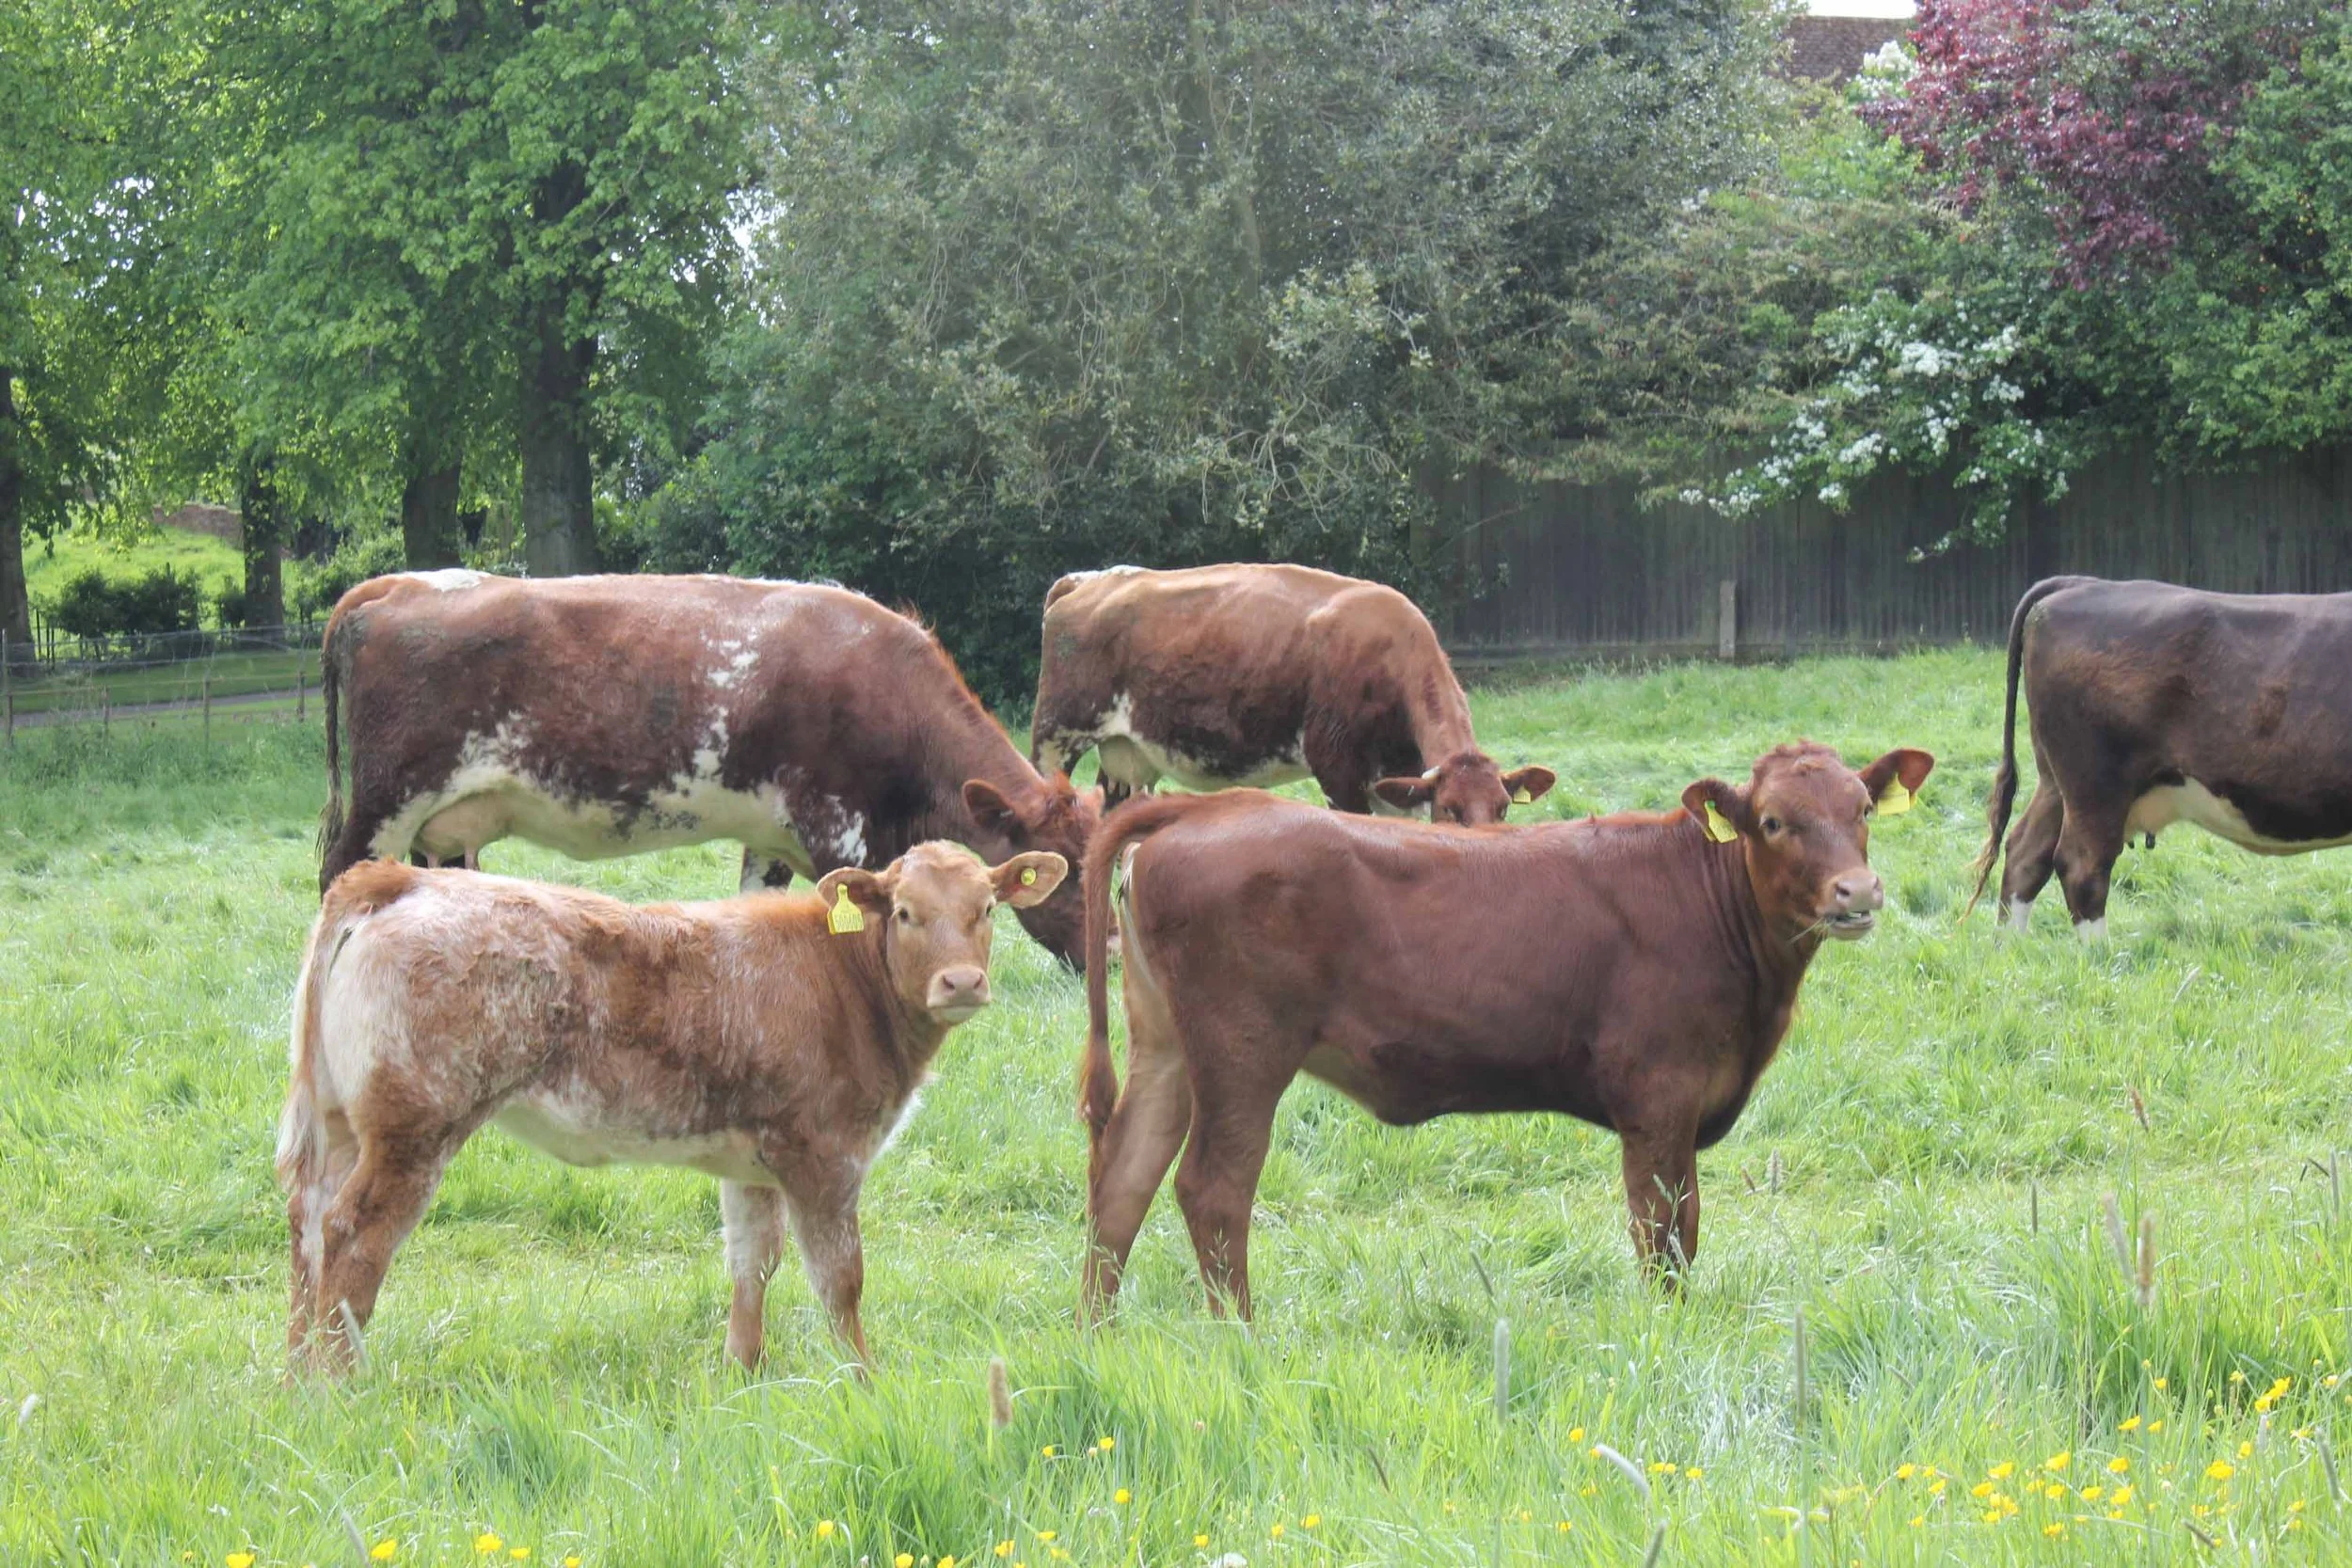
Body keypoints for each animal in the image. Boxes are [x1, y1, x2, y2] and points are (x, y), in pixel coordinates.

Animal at [277, 841, 1069, 1375]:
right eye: (906, 912)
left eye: (986, 909)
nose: (961, 981)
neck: (840, 979)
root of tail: (399, 877)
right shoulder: (825, 1154)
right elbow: (840, 1280)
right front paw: (864, 1385)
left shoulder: (753, 1162)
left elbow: (752, 1261)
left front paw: (742, 1371)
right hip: (415, 1128)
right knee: (353, 1235)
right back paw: (340, 1385)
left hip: (340, 1124)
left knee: (307, 1224)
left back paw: (296, 1380)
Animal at [317, 572, 1099, 967]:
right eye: (1065, 873)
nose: (1109, 958)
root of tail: (393, 585)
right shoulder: (837, 827)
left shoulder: (774, 837)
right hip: (386, 798)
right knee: (338, 878)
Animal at [1031, 564, 1555, 824]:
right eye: (1452, 810)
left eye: (1503, 809)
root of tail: (1090, 579)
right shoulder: (1337, 768)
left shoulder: (1397, 780)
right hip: (1055, 736)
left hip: (1127, 754)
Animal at [1072, 741, 1933, 1322]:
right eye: (1774, 820)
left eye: (1861, 809)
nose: (1858, 891)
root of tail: (1209, 806)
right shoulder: (1659, 1098)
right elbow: (1663, 1228)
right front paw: (1670, 1329)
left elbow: (1680, 1227)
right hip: (1242, 1052)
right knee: (1212, 1187)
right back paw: (1241, 1337)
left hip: (1166, 1047)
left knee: (1122, 1178)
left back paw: (1096, 1336)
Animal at [1974, 577, 2352, 937]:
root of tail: (2082, 583)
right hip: (2096, 784)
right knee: (2082, 865)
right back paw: (2101, 956)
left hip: (2056, 780)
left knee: (2026, 854)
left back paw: (2011, 948)